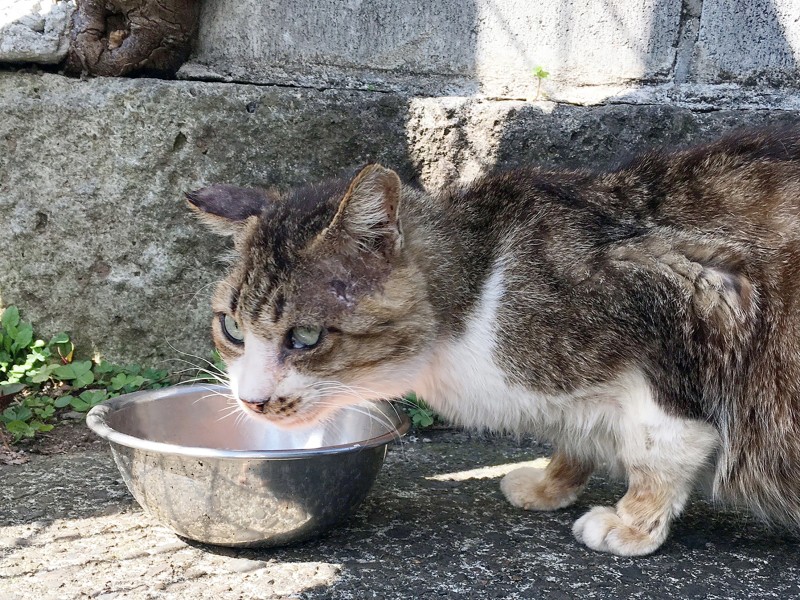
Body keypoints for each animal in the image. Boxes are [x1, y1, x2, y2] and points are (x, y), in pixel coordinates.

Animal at [188, 127, 800, 556]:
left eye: (306, 336)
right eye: (232, 327)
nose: (252, 400)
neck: (479, 293)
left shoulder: (689, 298)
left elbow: (659, 444)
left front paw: (632, 522)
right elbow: (581, 432)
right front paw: (552, 482)